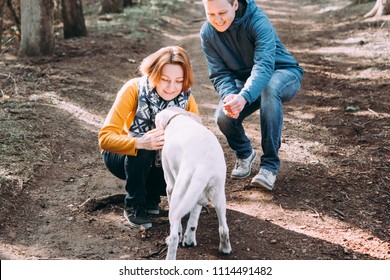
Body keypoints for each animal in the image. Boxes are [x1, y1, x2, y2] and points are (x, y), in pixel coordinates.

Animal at [154, 106, 230, 260]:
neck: (176, 117)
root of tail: (204, 166)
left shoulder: (170, 186)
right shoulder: (195, 197)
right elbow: (193, 219)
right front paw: (189, 240)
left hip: (178, 194)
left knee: (174, 236)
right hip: (219, 197)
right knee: (224, 228)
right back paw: (225, 249)